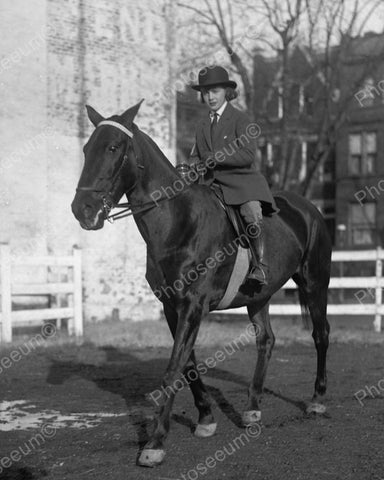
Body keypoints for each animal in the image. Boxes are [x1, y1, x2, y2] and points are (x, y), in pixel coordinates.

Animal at [70, 100, 332, 464]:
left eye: (113, 148)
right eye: (86, 149)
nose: (83, 209)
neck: (179, 222)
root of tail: (310, 209)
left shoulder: (192, 307)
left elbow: (173, 368)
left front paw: (155, 442)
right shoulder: (172, 307)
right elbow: (189, 365)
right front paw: (206, 418)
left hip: (315, 284)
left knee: (320, 335)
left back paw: (318, 400)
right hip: (259, 296)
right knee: (266, 340)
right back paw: (252, 409)